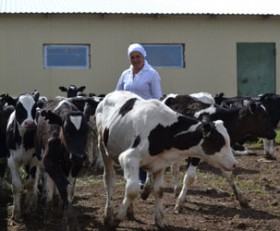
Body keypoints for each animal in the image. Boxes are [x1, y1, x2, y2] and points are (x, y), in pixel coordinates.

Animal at [6, 91, 40, 220]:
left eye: (34, 107)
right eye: (19, 107)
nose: (30, 123)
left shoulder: (34, 159)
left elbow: (30, 183)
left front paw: (28, 207)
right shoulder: (11, 160)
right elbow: (16, 185)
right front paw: (16, 212)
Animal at [95, 90, 237, 229]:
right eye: (219, 142)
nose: (234, 164)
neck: (166, 131)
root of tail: (109, 95)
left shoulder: (160, 164)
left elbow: (158, 190)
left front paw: (159, 220)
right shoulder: (129, 158)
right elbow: (132, 191)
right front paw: (116, 218)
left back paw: (130, 212)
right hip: (103, 149)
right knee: (109, 180)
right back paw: (108, 214)